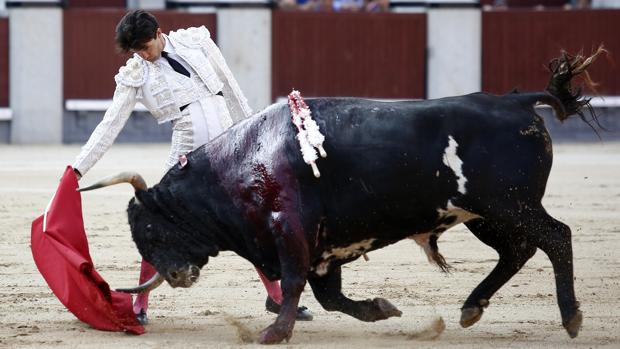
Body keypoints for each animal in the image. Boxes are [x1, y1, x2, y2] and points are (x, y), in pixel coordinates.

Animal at [78, 49, 600, 342]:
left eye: (149, 228)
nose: (174, 275)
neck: (240, 162)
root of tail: (515, 100)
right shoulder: (322, 251)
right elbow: (330, 297)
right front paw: (381, 310)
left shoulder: (290, 231)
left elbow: (293, 284)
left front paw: (274, 333)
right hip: (485, 214)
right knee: (519, 250)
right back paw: (472, 308)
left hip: (509, 204)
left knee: (556, 236)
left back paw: (571, 317)